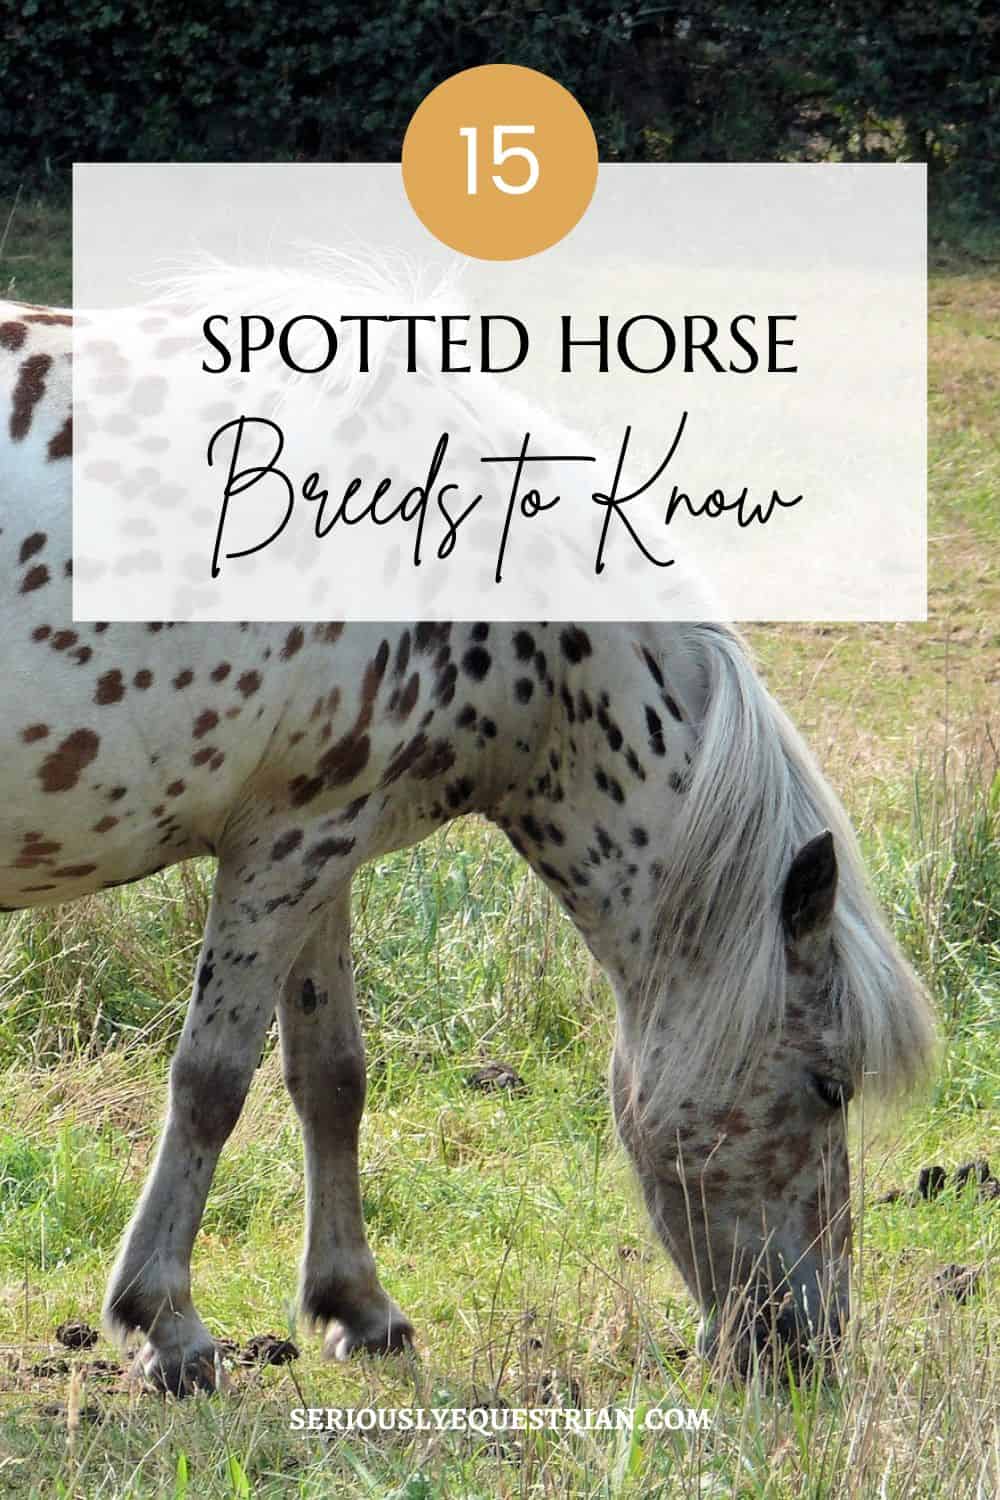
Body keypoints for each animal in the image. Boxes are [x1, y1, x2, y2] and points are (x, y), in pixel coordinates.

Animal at [0, 298, 935, 1392]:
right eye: (830, 1085)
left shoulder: (317, 847)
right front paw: (169, 1327)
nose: (806, 1344)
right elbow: (212, 1084)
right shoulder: (280, 854)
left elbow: (331, 1078)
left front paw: (357, 1307)